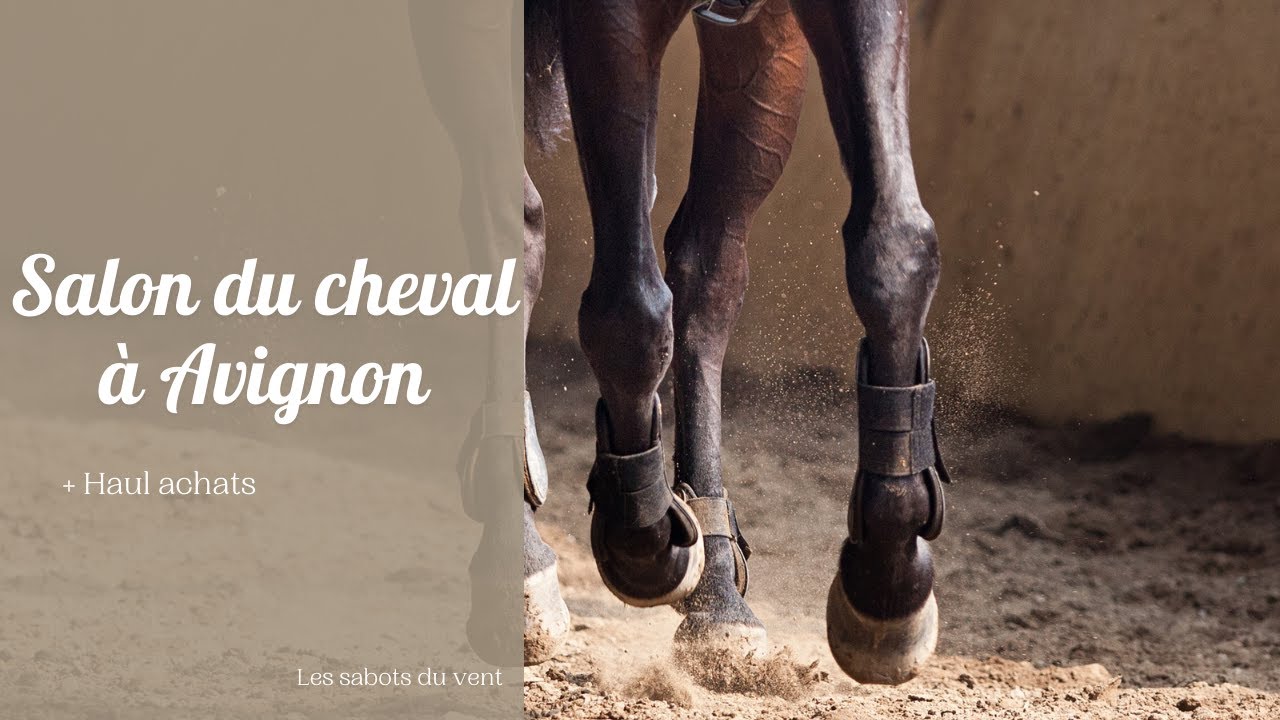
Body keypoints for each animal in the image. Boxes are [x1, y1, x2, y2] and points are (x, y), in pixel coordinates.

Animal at [512, 0, 951, 685]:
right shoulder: (607, 21)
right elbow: (628, 310)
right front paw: (641, 537)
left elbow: (895, 246)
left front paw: (889, 581)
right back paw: (534, 563)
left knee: (706, 266)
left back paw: (717, 594)